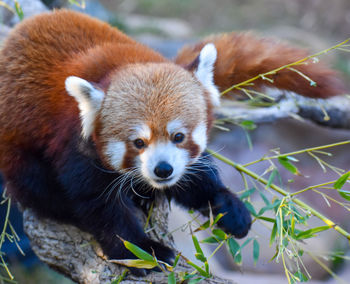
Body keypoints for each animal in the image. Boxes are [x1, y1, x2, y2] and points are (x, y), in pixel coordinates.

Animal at [0, 9, 346, 276]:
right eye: (138, 142)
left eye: (178, 136)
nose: (162, 170)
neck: (117, 65)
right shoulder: (75, 147)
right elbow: (99, 207)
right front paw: (143, 251)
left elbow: (194, 178)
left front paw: (227, 206)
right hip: (17, 147)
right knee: (35, 185)